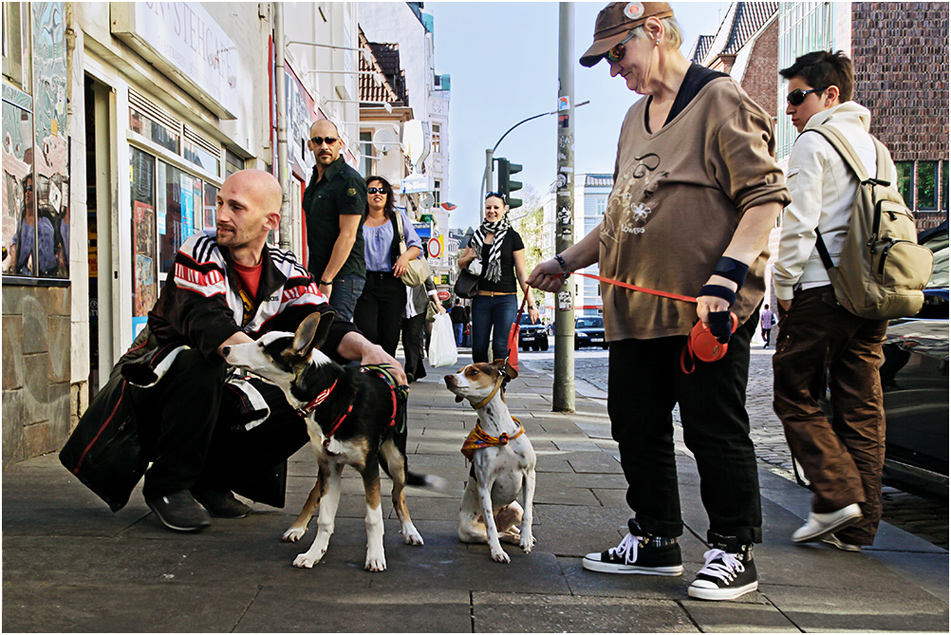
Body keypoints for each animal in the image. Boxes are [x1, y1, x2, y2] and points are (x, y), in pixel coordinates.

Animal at [223, 312, 424, 572]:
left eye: (261, 346)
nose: (226, 348)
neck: (329, 395)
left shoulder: (369, 468)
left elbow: (373, 519)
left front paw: (375, 555)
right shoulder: (330, 467)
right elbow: (326, 518)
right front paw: (314, 553)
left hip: (397, 460)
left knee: (398, 495)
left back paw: (410, 531)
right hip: (328, 466)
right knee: (314, 492)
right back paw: (297, 528)